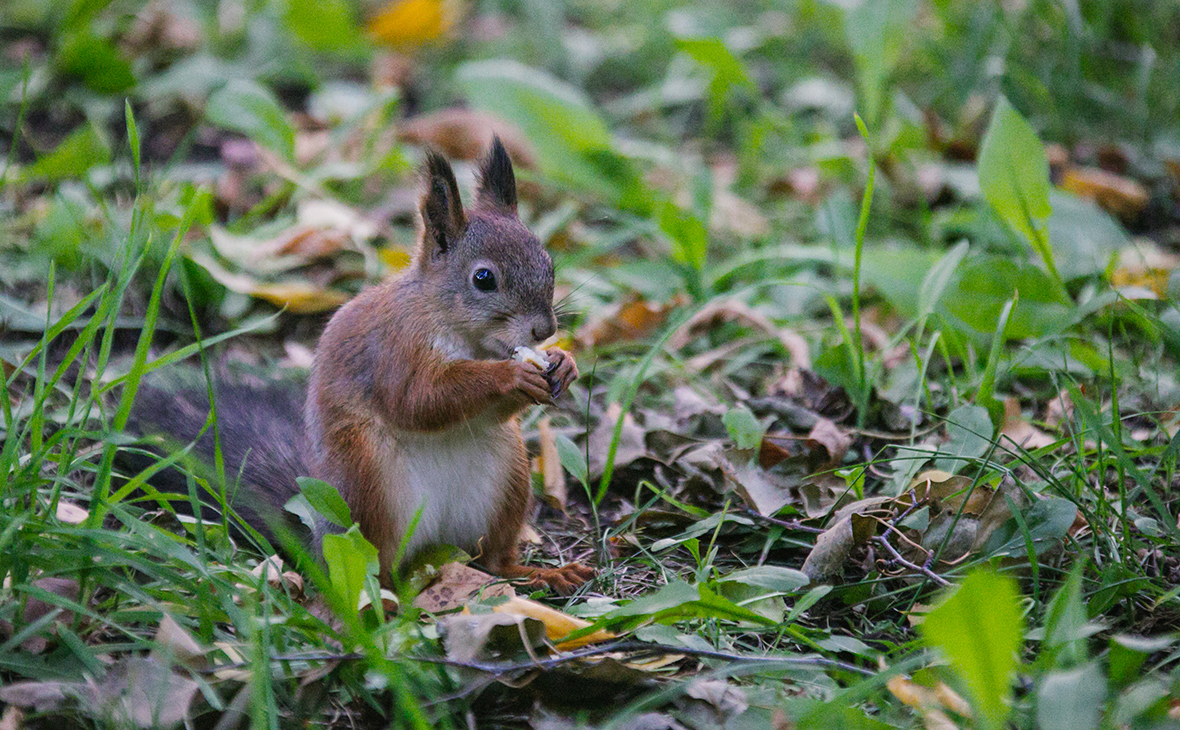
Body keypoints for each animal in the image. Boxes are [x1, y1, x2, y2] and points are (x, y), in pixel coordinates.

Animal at [129, 136, 594, 594]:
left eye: (548, 263)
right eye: (483, 279)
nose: (544, 329)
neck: (463, 335)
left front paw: (565, 363)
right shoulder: (394, 350)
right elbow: (419, 401)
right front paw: (512, 375)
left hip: (507, 478)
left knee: (493, 561)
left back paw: (541, 573)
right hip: (367, 485)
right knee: (369, 571)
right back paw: (384, 600)